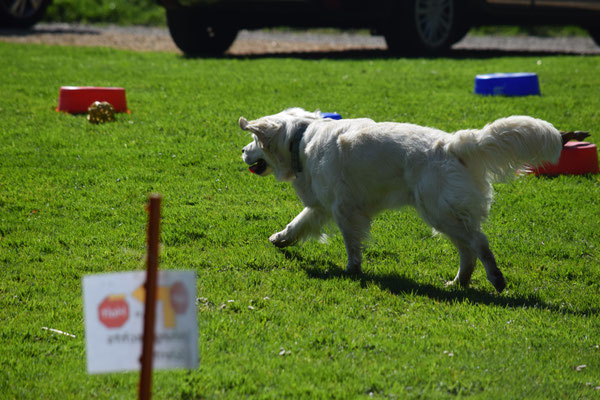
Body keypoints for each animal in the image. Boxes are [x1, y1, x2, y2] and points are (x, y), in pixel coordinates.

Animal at [240, 108, 568, 292]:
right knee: (468, 250)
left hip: (439, 211)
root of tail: (454, 143)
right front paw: (280, 238)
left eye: (254, 140)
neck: (301, 141)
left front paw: (352, 269)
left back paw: (496, 278)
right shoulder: (322, 205)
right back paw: (459, 283)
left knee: (479, 243)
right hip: (443, 214)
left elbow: (351, 243)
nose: (242, 151)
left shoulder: (344, 209)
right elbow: (298, 223)